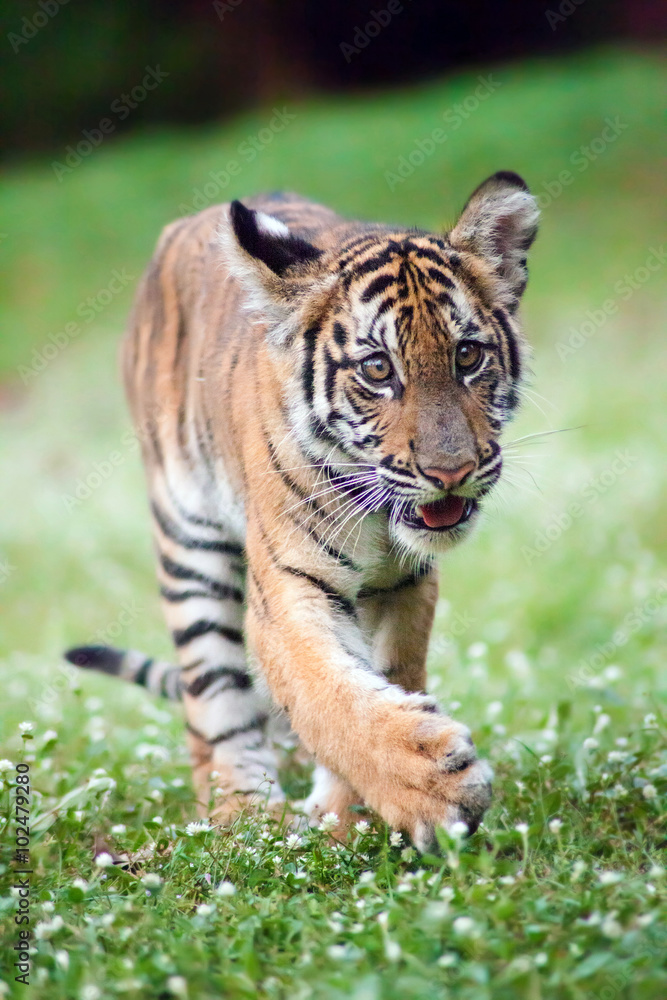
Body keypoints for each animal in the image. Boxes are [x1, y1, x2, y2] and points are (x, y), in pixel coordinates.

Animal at [65, 171, 539, 852]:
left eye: (468, 356)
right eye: (378, 369)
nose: (451, 472)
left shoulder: (403, 586)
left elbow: (381, 677)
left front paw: (351, 814)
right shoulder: (288, 589)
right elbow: (327, 695)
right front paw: (435, 788)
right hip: (189, 547)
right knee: (212, 702)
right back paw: (243, 813)